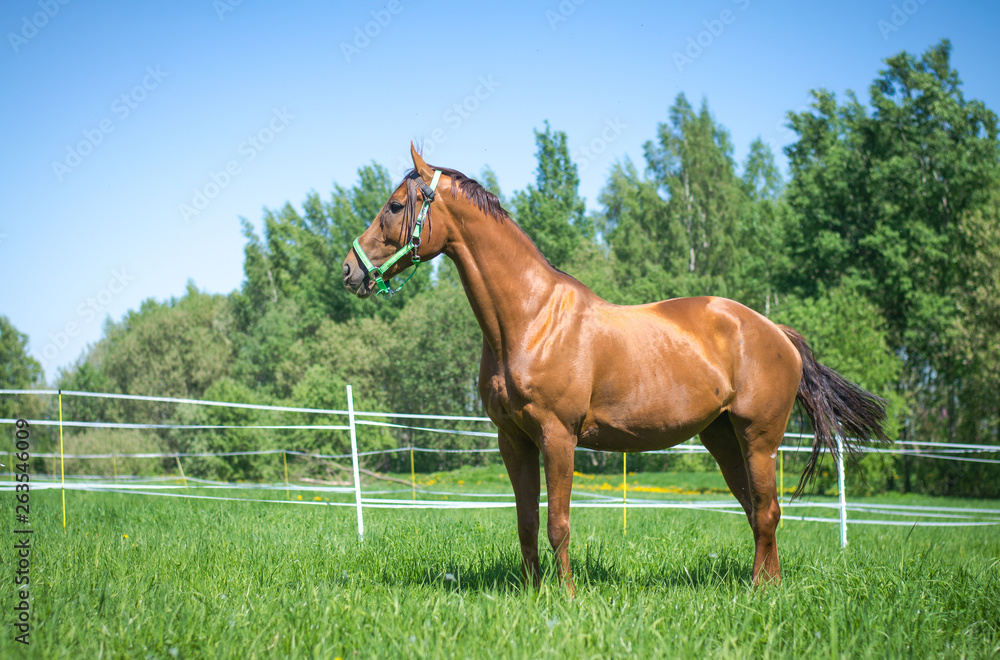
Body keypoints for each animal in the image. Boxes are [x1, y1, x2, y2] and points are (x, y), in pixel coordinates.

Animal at [342, 145, 890, 593]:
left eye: (395, 205)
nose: (349, 270)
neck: (531, 318)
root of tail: (776, 332)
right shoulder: (513, 439)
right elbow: (526, 522)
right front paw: (531, 593)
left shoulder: (558, 437)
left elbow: (558, 523)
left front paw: (564, 596)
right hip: (722, 438)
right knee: (758, 512)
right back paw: (766, 584)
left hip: (758, 439)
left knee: (768, 511)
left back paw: (761, 589)